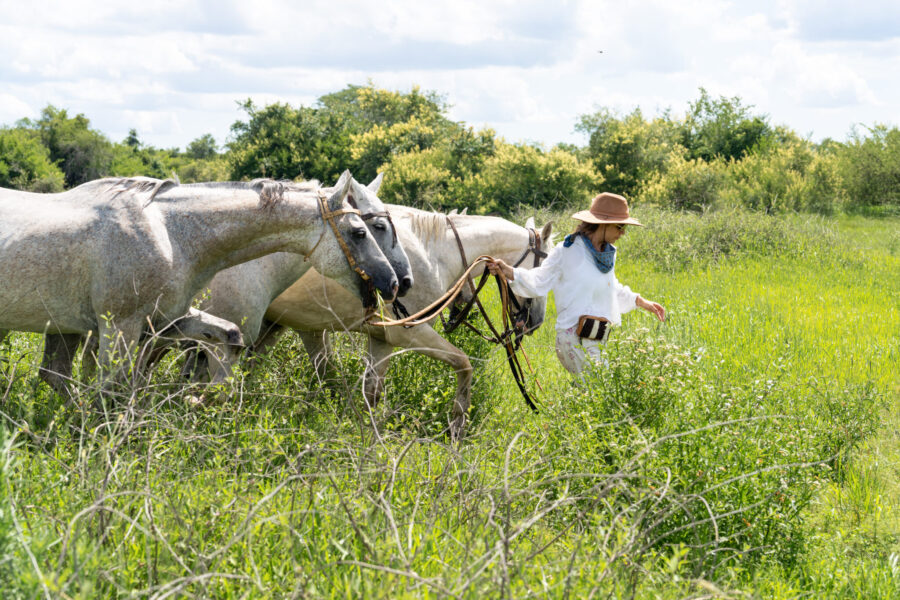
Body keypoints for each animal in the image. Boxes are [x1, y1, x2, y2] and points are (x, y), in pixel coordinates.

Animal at [0, 171, 398, 384]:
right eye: (361, 231)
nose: (394, 282)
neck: (171, 234)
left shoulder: (166, 321)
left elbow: (230, 339)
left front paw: (204, 395)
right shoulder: (120, 327)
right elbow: (112, 388)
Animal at [256, 206, 554, 438]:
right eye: (542, 269)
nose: (537, 322)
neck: (431, 253)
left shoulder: (382, 340)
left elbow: (371, 393)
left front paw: (365, 437)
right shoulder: (411, 333)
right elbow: (464, 364)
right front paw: (457, 427)